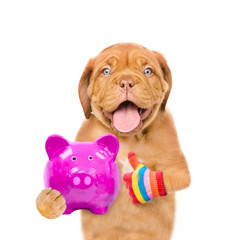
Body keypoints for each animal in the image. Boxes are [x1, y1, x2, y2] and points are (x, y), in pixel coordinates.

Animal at [36, 43, 191, 240]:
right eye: (106, 71)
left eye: (148, 71)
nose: (126, 82)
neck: (128, 138)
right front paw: (50, 200)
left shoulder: (177, 164)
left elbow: (172, 177)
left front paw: (141, 181)